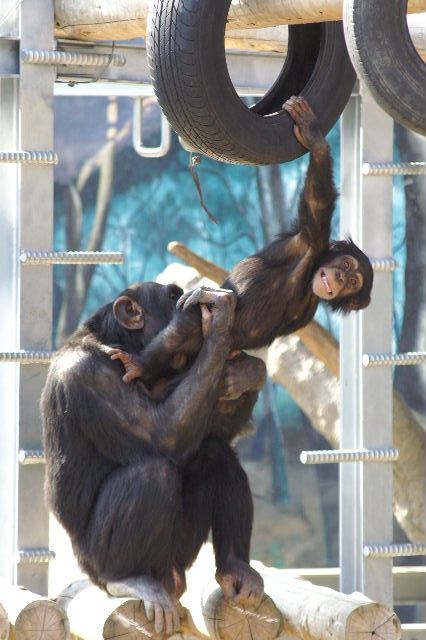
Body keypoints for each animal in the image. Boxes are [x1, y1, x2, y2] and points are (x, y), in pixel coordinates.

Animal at [40, 284, 266, 636]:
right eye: (173, 296)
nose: (186, 296)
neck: (117, 343)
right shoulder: (91, 375)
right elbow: (162, 434)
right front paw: (218, 320)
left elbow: (216, 433)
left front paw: (246, 371)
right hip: (96, 562)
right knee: (153, 472)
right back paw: (126, 579)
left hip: (178, 557)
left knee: (216, 453)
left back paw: (236, 567)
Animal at [109, 95, 372, 384]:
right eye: (346, 266)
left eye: (353, 282)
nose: (341, 278)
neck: (309, 276)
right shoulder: (308, 242)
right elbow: (319, 202)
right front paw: (315, 137)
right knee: (184, 325)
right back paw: (140, 365)